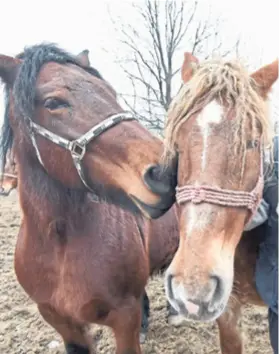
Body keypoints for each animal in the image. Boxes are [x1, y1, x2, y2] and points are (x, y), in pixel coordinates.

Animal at [0, 44, 182, 354]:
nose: (167, 173)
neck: (60, 247)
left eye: (110, 93)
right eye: (53, 102)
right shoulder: (63, 323)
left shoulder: (124, 318)